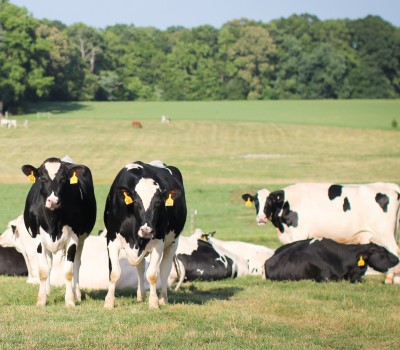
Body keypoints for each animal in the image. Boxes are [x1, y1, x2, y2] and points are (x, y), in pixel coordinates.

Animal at [21, 158, 96, 306]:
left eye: (63, 179)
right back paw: (47, 291)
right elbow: (43, 270)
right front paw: (41, 299)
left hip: (82, 239)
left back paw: (77, 294)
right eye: (42, 178)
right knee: (49, 264)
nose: (53, 201)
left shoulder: (73, 238)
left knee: (77, 264)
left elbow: (68, 271)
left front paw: (70, 301)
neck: (53, 221)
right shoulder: (38, 238)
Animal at [101, 160, 186, 308]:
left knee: (164, 270)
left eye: (158, 203)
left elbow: (152, 275)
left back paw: (163, 298)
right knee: (140, 269)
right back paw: (140, 295)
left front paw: (153, 302)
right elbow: (114, 273)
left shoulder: (158, 243)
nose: (146, 230)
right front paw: (109, 302)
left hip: (173, 242)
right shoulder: (112, 240)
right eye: (136, 202)